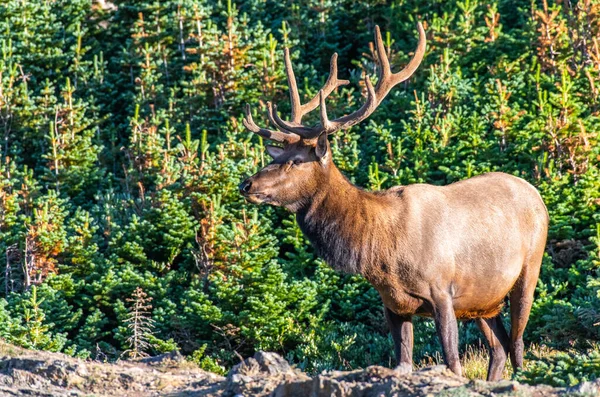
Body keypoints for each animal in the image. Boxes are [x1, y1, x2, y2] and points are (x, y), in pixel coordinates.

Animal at [238, 22, 548, 380]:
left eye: (295, 161)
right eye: (277, 156)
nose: (246, 184)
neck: (383, 250)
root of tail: (538, 195)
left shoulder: (442, 290)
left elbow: (453, 362)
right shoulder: (393, 304)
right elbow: (403, 362)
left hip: (528, 270)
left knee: (518, 345)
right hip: (484, 300)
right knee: (498, 349)